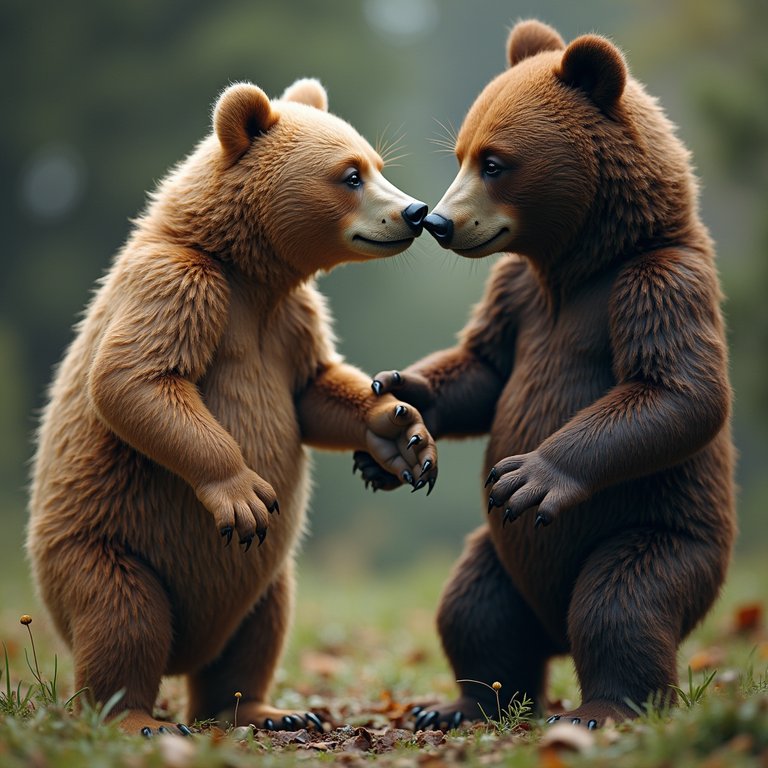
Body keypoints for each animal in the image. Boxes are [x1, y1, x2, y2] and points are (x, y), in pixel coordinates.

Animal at [27, 77, 438, 736]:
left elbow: (314, 389)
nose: (415, 212)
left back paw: (269, 712)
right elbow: (136, 379)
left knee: (259, 628)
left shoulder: (290, 322)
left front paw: (403, 433)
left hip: (264, 578)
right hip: (101, 545)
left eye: (379, 164)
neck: (250, 274)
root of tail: (189, 647)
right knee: (123, 617)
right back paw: (135, 716)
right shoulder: (183, 285)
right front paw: (243, 494)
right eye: (350, 174)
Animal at [357, 19, 736, 729]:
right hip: (498, 554)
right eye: (461, 153)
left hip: (660, 532)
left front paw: (531, 474)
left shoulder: (653, 281)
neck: (575, 266)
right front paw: (395, 412)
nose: (439, 221)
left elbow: (674, 391)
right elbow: (484, 371)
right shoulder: (519, 298)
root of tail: (551, 628)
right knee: (474, 611)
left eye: (495, 162)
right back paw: (461, 706)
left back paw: (603, 706)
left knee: (621, 602)